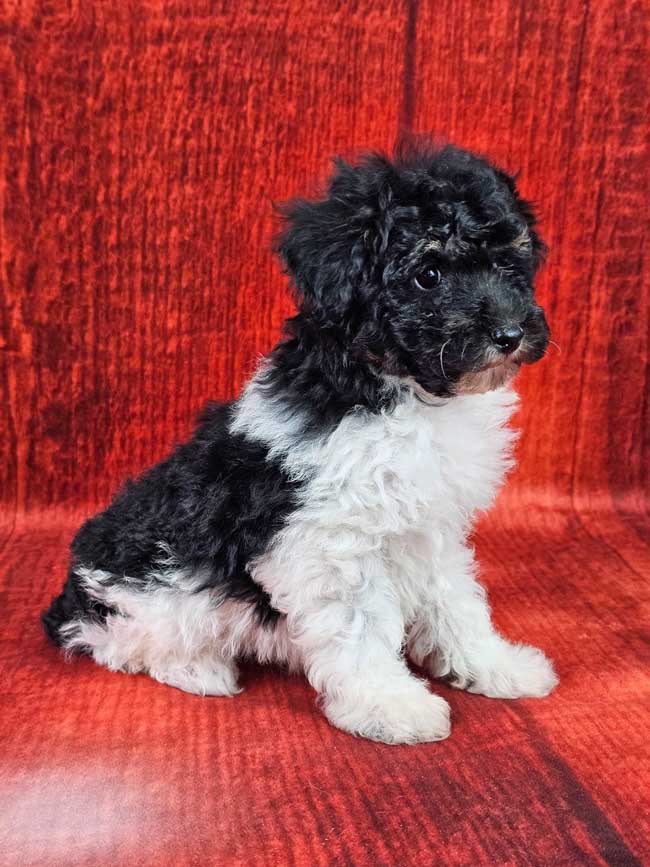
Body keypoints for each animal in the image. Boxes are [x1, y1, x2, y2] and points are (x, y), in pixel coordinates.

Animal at [43, 142, 558, 744]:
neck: (400, 391)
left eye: (509, 264)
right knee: (122, 642)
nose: (509, 334)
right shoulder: (329, 542)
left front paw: (495, 665)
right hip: (156, 590)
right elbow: (359, 625)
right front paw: (389, 705)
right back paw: (200, 671)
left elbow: (454, 600)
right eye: (428, 274)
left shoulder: (428, 529)